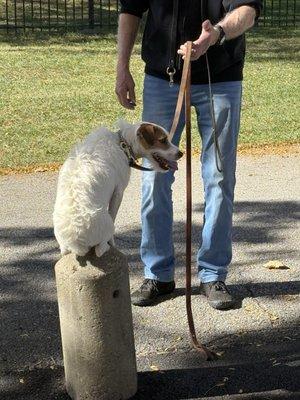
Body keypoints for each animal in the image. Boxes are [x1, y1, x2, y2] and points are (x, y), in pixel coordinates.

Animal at [52, 119, 182, 256]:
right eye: (163, 140)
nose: (181, 153)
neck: (123, 144)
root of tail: (76, 241)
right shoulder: (118, 192)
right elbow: (113, 214)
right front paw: (112, 242)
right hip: (107, 226)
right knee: (100, 249)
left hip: (63, 245)